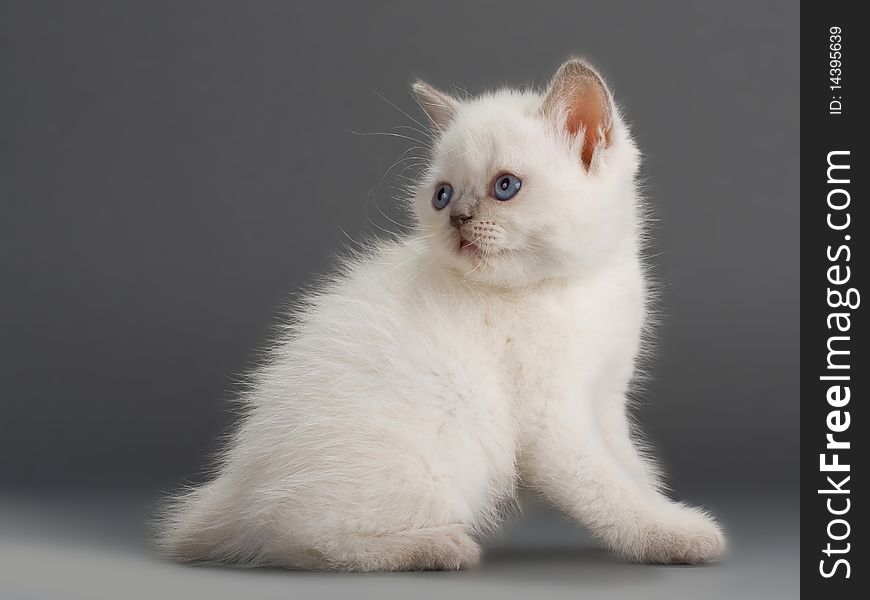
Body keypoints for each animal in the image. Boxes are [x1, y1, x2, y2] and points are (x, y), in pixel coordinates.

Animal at [158, 58, 728, 568]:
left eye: (505, 187)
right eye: (442, 195)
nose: (457, 218)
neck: (569, 286)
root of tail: (236, 486)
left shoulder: (605, 399)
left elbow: (633, 470)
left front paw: (669, 514)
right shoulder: (553, 423)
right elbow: (607, 489)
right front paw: (673, 536)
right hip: (436, 460)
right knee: (301, 538)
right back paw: (435, 547)